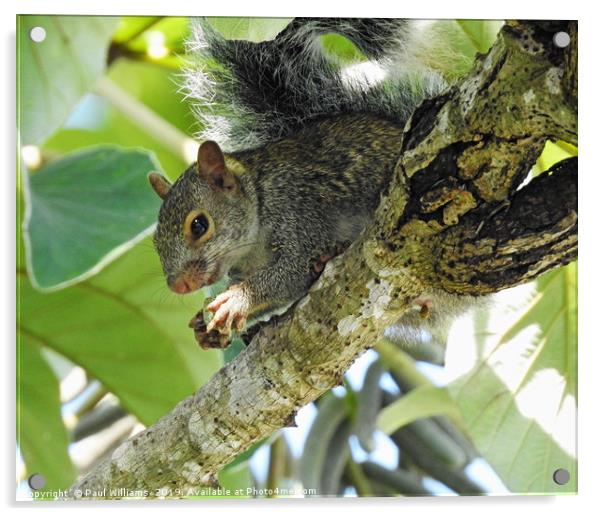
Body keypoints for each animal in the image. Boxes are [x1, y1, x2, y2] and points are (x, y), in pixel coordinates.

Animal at [146, 18, 474, 352]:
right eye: (156, 242)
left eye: (199, 225)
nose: (179, 285)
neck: (260, 202)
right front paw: (205, 328)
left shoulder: (299, 212)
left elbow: (292, 271)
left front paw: (237, 300)